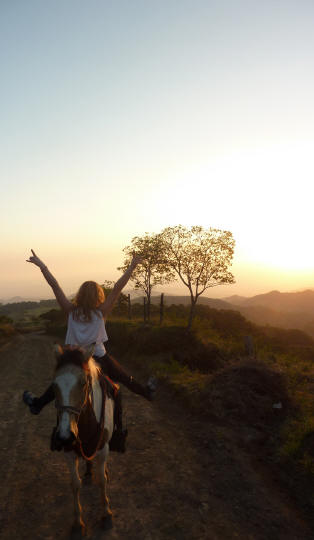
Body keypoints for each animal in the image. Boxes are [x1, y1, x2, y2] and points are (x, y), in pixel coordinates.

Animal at [52, 344, 114, 532]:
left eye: (83, 383)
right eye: (54, 386)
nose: (65, 436)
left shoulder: (103, 448)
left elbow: (102, 480)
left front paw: (106, 513)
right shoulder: (68, 452)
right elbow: (75, 484)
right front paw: (78, 521)